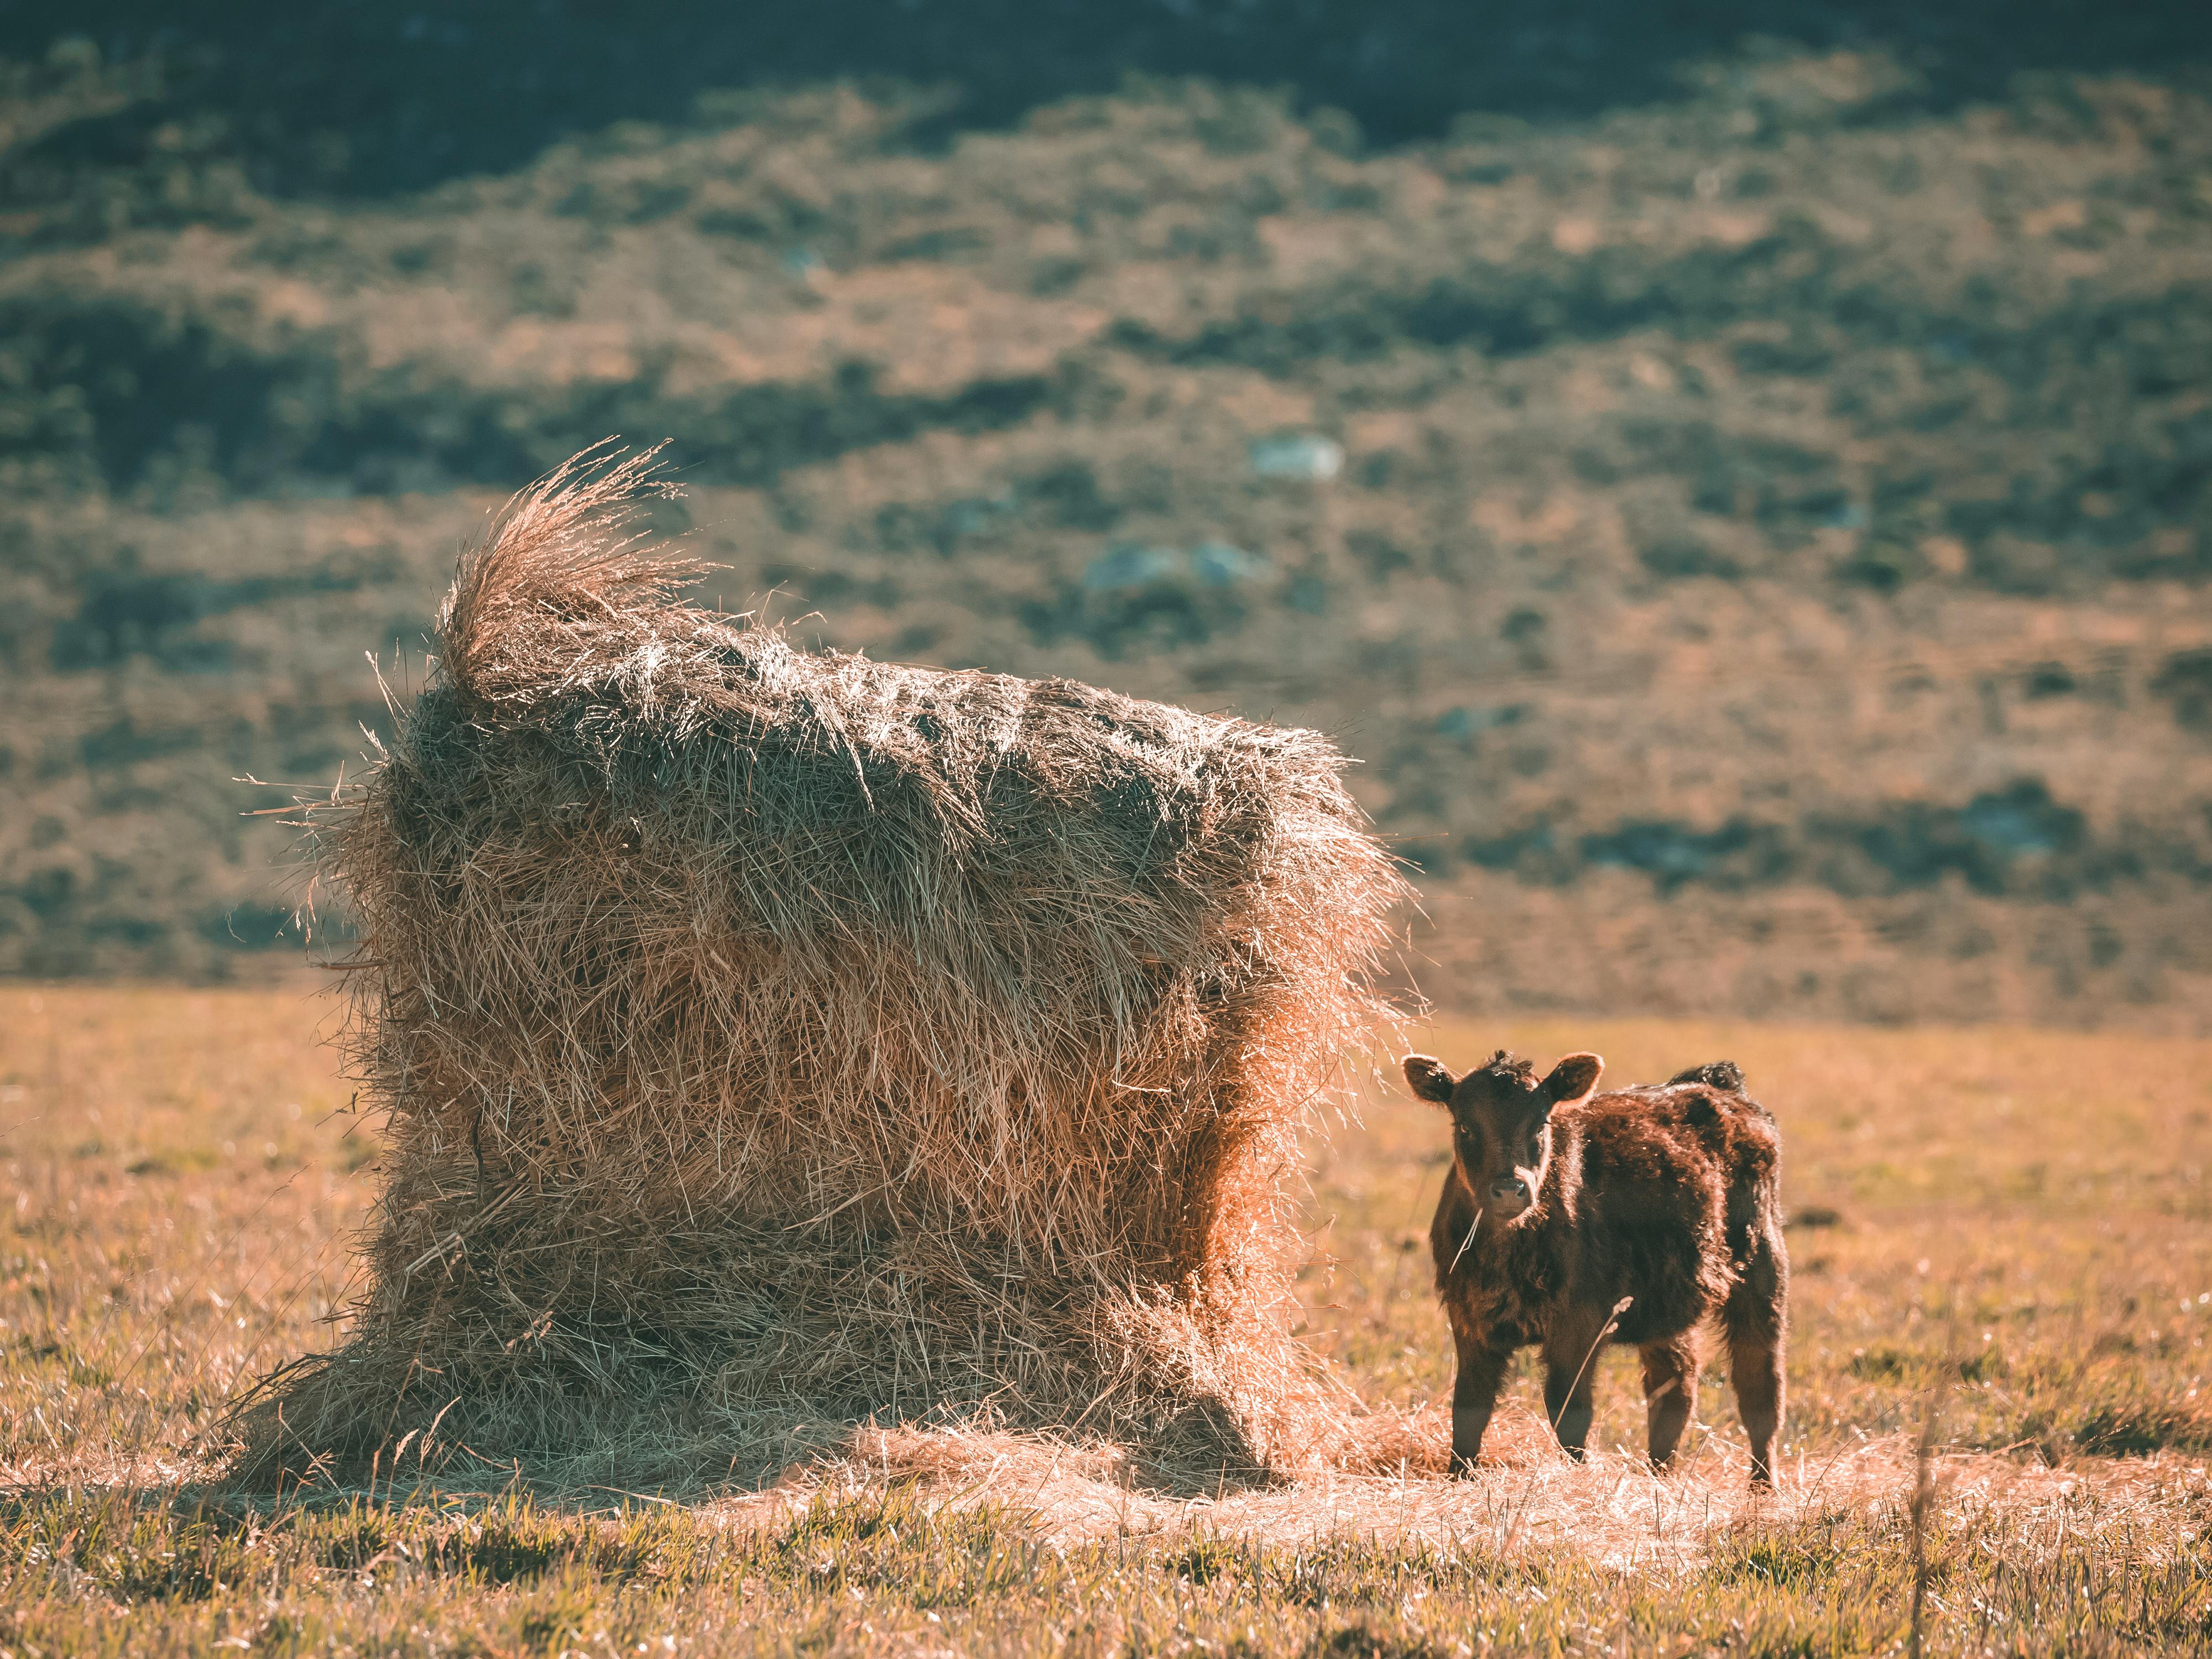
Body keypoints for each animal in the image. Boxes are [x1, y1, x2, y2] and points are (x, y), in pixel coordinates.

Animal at [1407, 1044, 1787, 1486]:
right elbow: (1469, 1409)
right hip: (1668, 1306)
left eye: (1542, 1124)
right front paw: (1458, 1479)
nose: (1509, 1189)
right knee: (1674, 1387)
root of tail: (1716, 1085)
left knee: (1759, 1389)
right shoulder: (1469, 1321)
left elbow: (1569, 1412)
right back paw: (1659, 1474)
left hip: (1763, 1271)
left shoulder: (1580, 1325)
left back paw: (1762, 1488)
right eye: (1466, 1126)